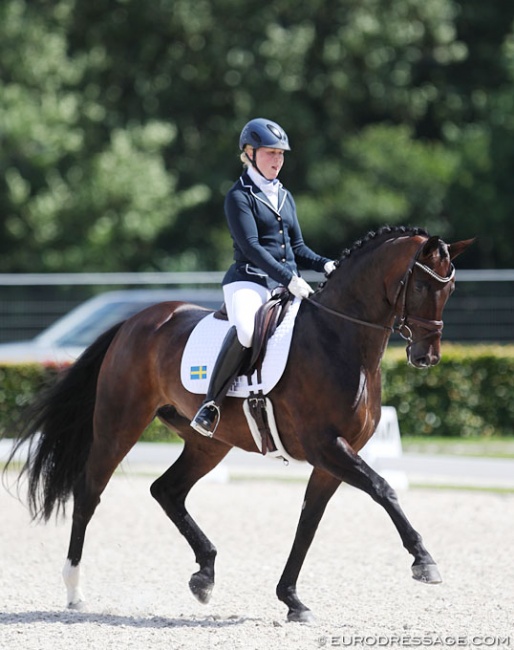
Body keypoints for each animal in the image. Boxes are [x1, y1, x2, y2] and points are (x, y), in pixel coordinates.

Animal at [7, 225, 472, 620]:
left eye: (450, 288)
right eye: (424, 285)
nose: (427, 357)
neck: (340, 338)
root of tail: (135, 321)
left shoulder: (333, 458)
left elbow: (309, 522)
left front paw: (291, 599)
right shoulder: (327, 446)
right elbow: (383, 488)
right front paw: (424, 562)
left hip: (209, 442)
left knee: (167, 490)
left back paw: (204, 575)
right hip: (118, 425)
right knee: (89, 493)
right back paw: (74, 591)